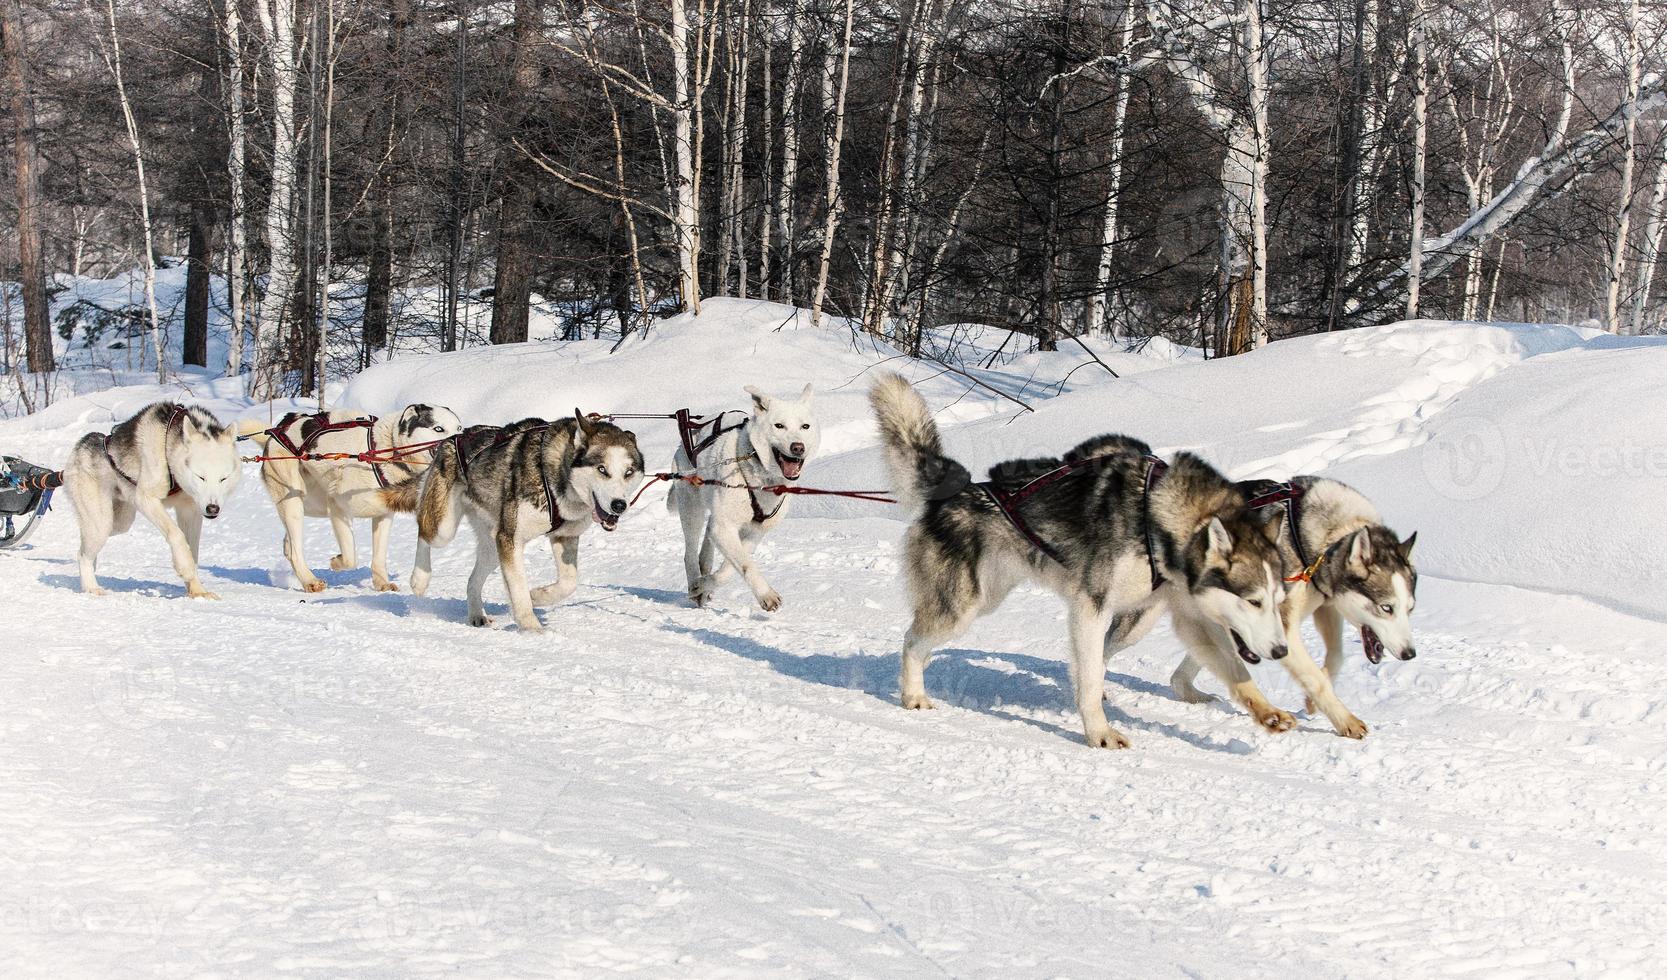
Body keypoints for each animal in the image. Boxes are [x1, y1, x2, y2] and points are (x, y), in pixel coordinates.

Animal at [61, 401, 243, 600]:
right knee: (83, 554)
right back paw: (91, 587)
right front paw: (185, 568)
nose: (212, 508)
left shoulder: (191, 511)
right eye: (200, 477)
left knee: (86, 545)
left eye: (223, 478)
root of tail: (84, 444)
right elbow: (176, 534)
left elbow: (192, 550)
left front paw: (197, 591)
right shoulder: (146, 499)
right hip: (101, 523)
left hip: (120, 522)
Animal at [238, 403, 460, 593]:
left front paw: (382, 583)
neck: (382, 450)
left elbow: (379, 556)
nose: (460, 438)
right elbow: (350, 557)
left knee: (290, 545)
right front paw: (337, 562)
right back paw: (310, 581)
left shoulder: (383, 515)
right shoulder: (338, 507)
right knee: (295, 549)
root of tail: (274, 435)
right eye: (438, 428)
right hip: (294, 502)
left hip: (311, 504)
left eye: (459, 427)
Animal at [413, 410, 646, 630]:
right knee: (423, 532)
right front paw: (533, 629)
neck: (554, 477)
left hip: (493, 545)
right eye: (602, 469)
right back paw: (419, 580)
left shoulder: (565, 537)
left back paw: (477, 614)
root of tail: (453, 438)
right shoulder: (511, 539)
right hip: (444, 528)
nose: (619, 505)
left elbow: (569, 583)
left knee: (473, 580)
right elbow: (518, 588)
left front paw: (537, 596)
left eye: (628, 472)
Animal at [663, 385, 820, 610]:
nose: (798, 447)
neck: (762, 480)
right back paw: (694, 581)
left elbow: (729, 570)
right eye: (779, 425)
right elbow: (745, 564)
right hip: (692, 509)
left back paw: (703, 579)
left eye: (805, 426)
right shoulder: (724, 528)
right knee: (690, 553)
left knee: (707, 542)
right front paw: (766, 594)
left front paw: (706, 584)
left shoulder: (754, 532)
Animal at [873, 375, 1286, 750]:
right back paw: (913, 694)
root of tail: (955, 492)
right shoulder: (1091, 608)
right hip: (963, 607)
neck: (1155, 519)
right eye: (1253, 601)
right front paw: (1099, 733)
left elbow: (1235, 670)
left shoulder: (1189, 617)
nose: (1281, 651)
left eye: (1277, 601)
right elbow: (1089, 679)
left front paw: (1269, 712)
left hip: (996, 600)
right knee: (911, 640)